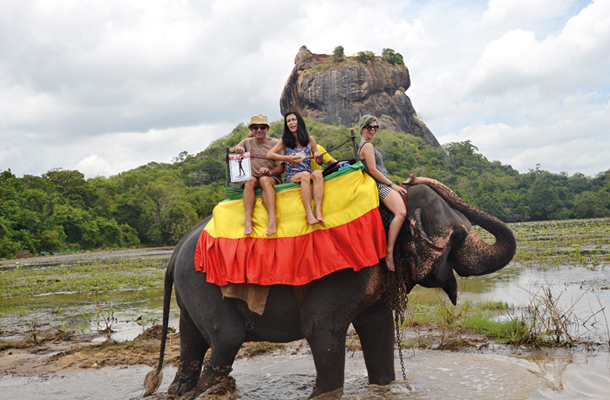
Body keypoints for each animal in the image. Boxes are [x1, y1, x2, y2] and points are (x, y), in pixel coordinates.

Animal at [142, 176, 512, 400]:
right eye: (458, 236)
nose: (410, 178)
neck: (387, 211)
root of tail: (175, 251)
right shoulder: (347, 272)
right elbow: (320, 327)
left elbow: (378, 330)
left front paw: (385, 387)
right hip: (204, 284)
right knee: (226, 339)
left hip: (190, 291)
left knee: (191, 341)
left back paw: (179, 390)